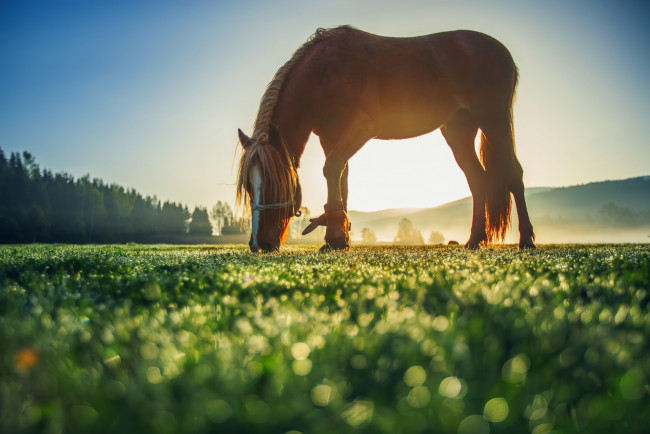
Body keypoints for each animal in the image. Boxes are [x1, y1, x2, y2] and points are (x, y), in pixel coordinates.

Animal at [235, 25, 536, 253]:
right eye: (249, 187)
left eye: (275, 185)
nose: (259, 244)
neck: (325, 73)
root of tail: (502, 52)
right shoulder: (331, 136)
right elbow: (340, 179)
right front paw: (338, 236)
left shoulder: (361, 126)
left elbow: (332, 169)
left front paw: (335, 238)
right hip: (458, 130)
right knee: (477, 180)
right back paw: (475, 239)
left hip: (494, 120)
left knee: (513, 173)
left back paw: (526, 239)